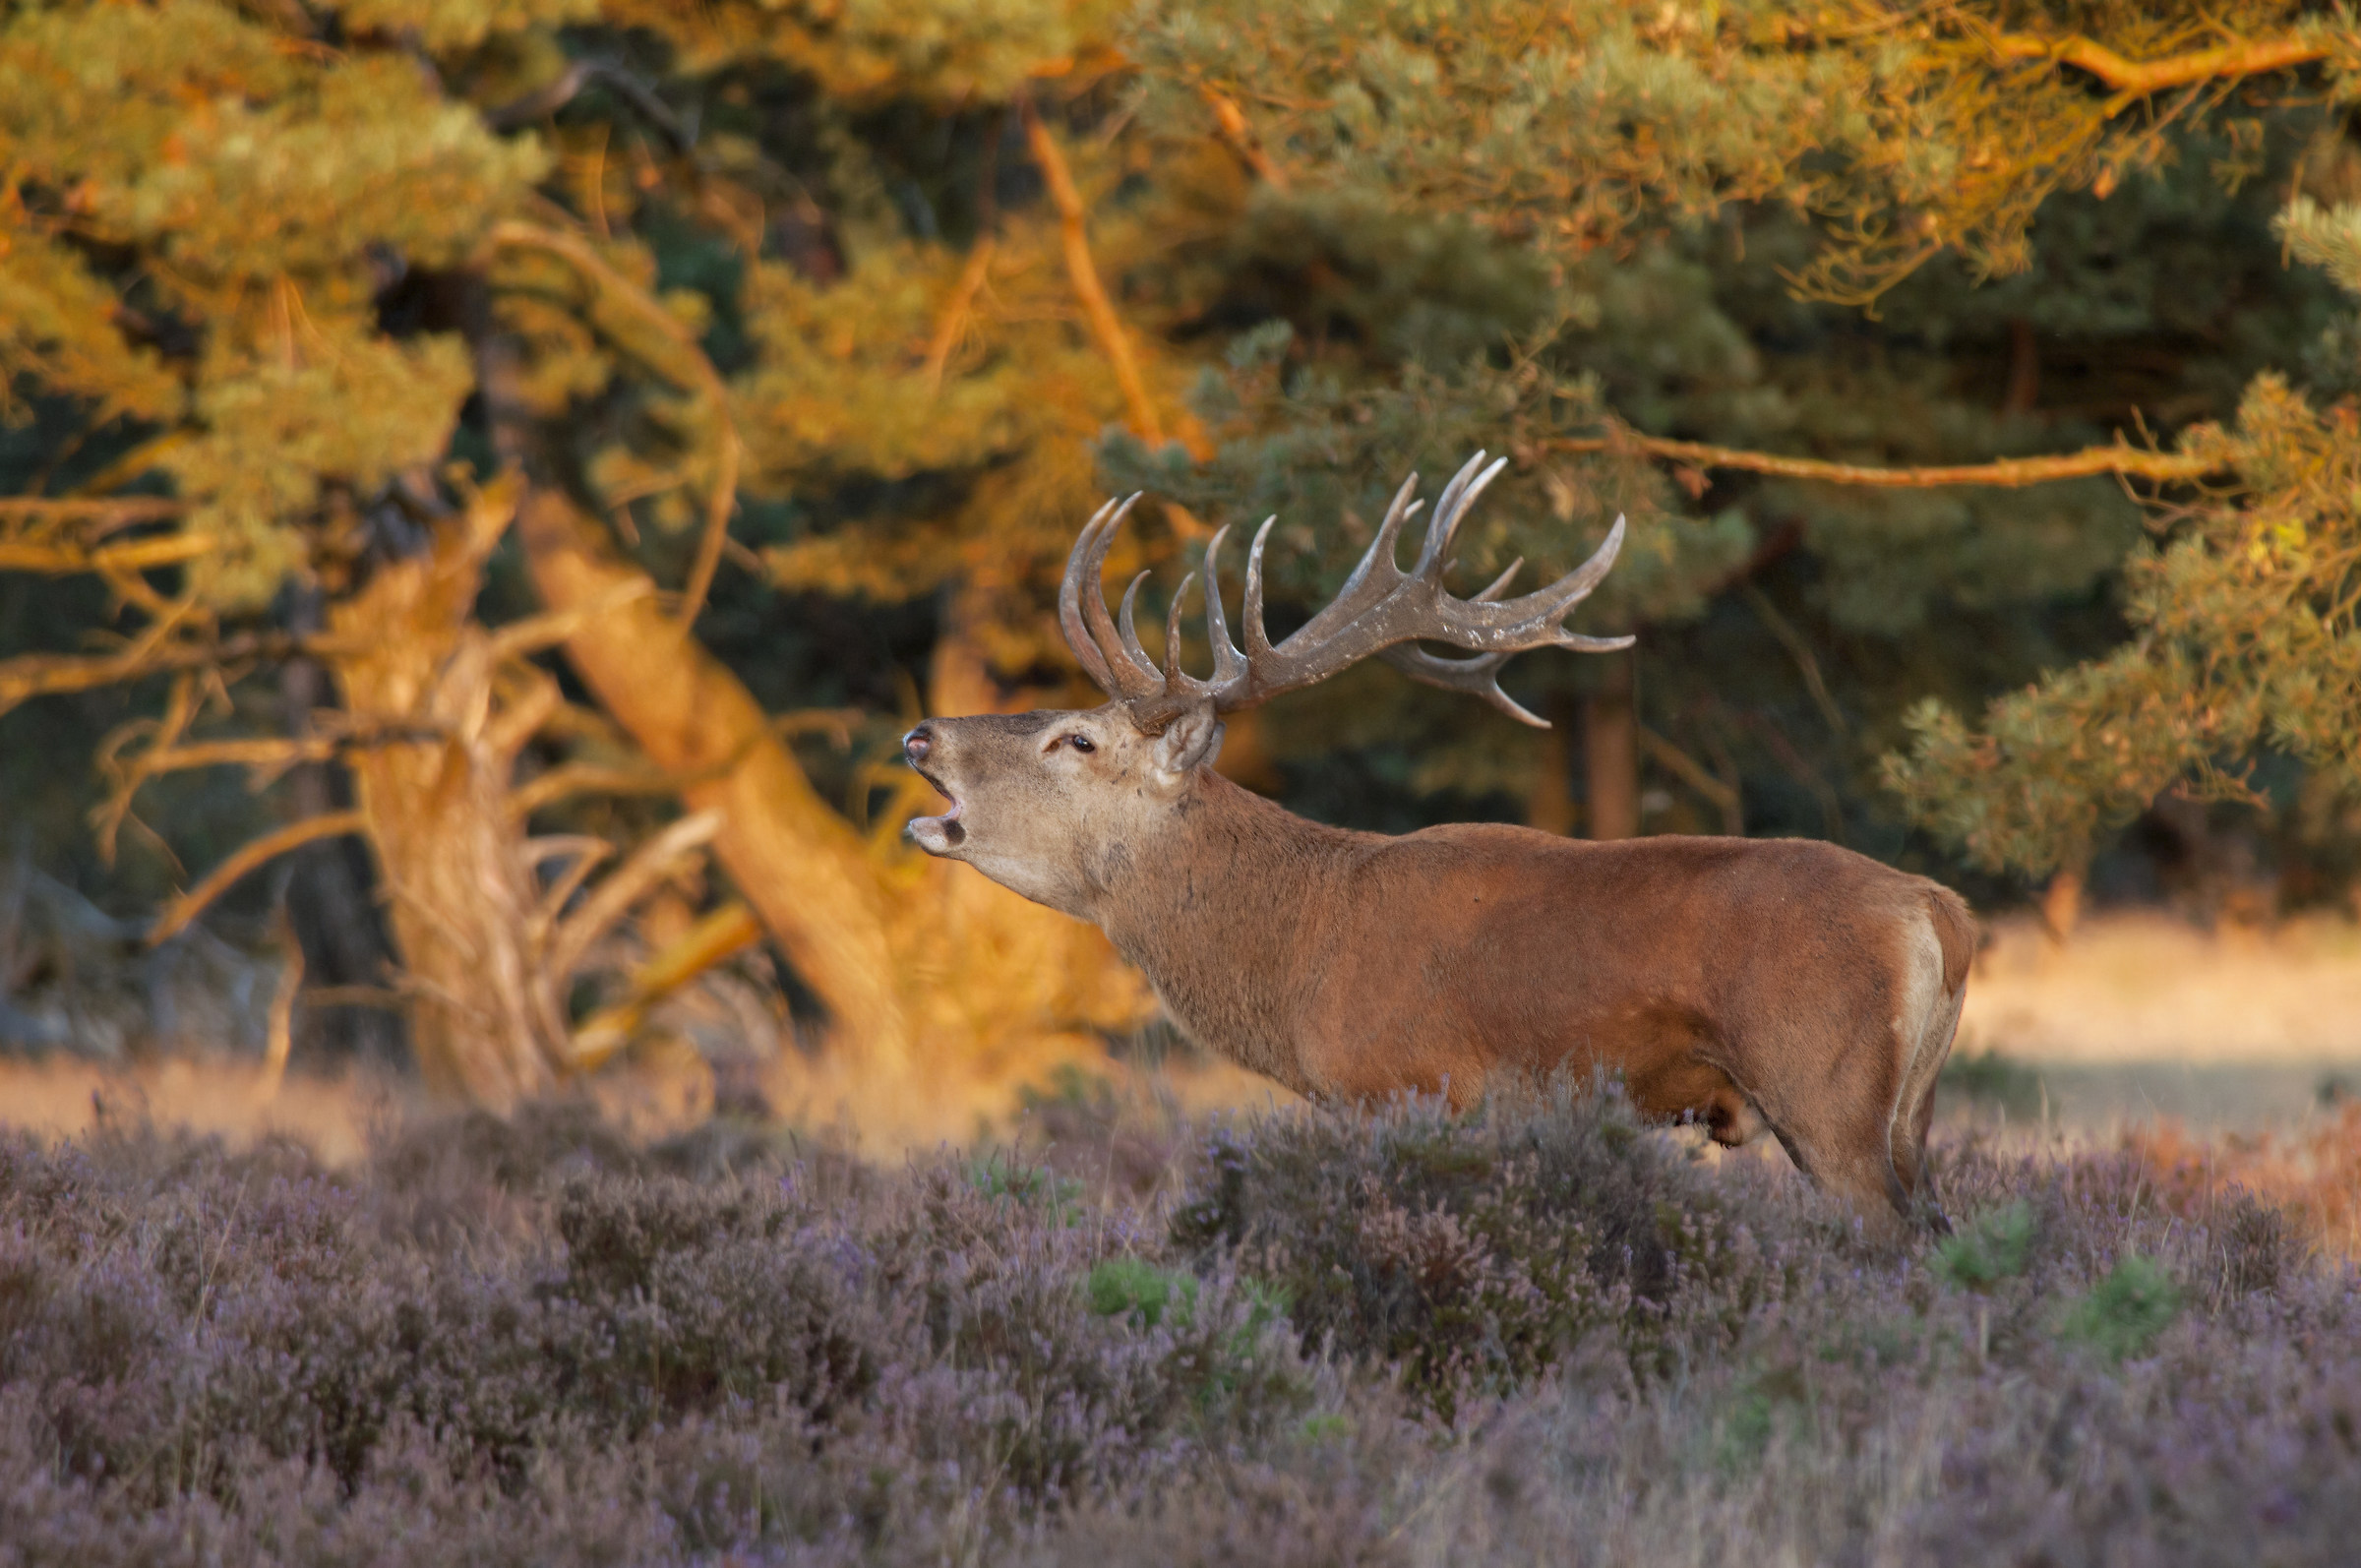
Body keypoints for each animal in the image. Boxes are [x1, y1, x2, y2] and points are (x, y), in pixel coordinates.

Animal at [900, 453, 1974, 1235]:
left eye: (1076, 739)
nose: (920, 737)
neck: (1296, 958)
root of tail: (1941, 912)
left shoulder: (1406, 1088)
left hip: (1823, 1087)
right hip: (1910, 1111)